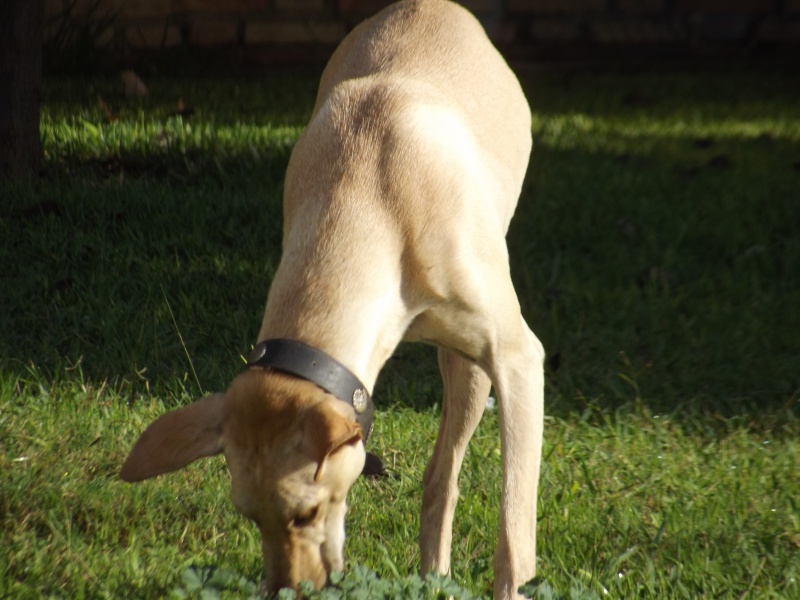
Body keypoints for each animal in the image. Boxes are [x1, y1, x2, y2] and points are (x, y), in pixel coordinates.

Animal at [120, 2, 544, 596]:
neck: (371, 196)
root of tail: (434, 7)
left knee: (448, 471)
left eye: (307, 512)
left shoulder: (518, 359)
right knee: (438, 479)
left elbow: (514, 531)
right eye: (250, 517)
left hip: (473, 368)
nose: (287, 590)